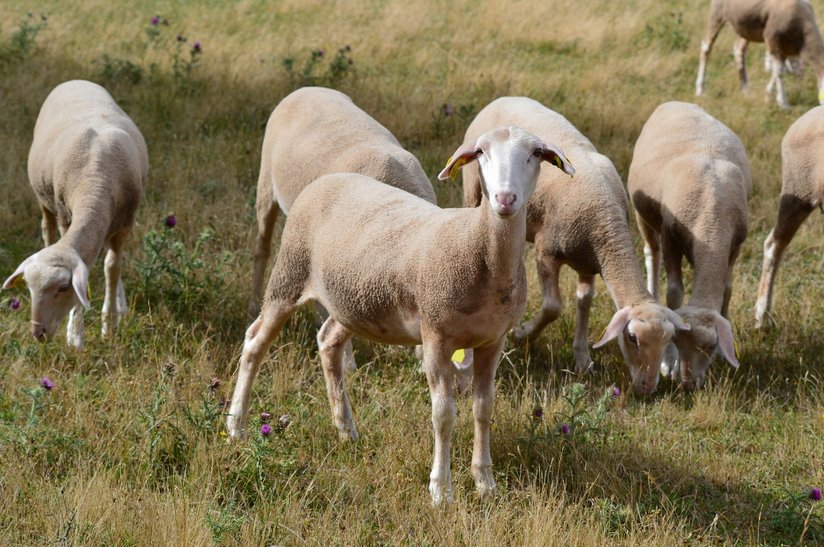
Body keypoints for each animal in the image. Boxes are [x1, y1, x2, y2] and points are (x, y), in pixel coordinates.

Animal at [3, 80, 148, 349]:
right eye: (28, 288)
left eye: (63, 287)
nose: (38, 333)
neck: (96, 180)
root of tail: (75, 81)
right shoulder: (65, 216)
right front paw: (76, 334)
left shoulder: (124, 224)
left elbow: (112, 267)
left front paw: (109, 325)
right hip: (45, 199)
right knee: (47, 230)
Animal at [226, 126, 575, 505]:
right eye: (481, 152)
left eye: (536, 153)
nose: (505, 198)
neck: (476, 245)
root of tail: (327, 180)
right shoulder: (436, 335)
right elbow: (443, 415)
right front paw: (441, 490)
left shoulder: (492, 340)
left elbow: (483, 410)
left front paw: (485, 482)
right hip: (289, 274)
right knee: (255, 342)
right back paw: (236, 425)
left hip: (352, 301)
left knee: (328, 341)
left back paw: (345, 428)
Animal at [460, 97, 690, 395]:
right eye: (632, 338)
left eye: (667, 340)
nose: (648, 388)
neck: (606, 226)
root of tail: (503, 99)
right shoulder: (547, 251)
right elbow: (553, 307)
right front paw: (522, 334)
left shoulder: (588, 261)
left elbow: (584, 301)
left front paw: (583, 358)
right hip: (472, 189)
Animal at [628, 101, 749, 390]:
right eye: (676, 340)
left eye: (712, 345)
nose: (689, 384)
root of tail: (674, 102)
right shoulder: (671, 237)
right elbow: (674, 294)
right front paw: (668, 364)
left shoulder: (734, 246)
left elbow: (727, 290)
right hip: (643, 216)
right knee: (652, 254)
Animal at [695, 0, 824, 108]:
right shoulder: (772, 39)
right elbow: (779, 71)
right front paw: (783, 103)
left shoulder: (786, 50)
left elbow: (780, 70)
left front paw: (768, 95)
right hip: (717, 13)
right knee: (706, 46)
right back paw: (700, 89)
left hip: (746, 29)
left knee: (738, 50)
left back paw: (746, 91)